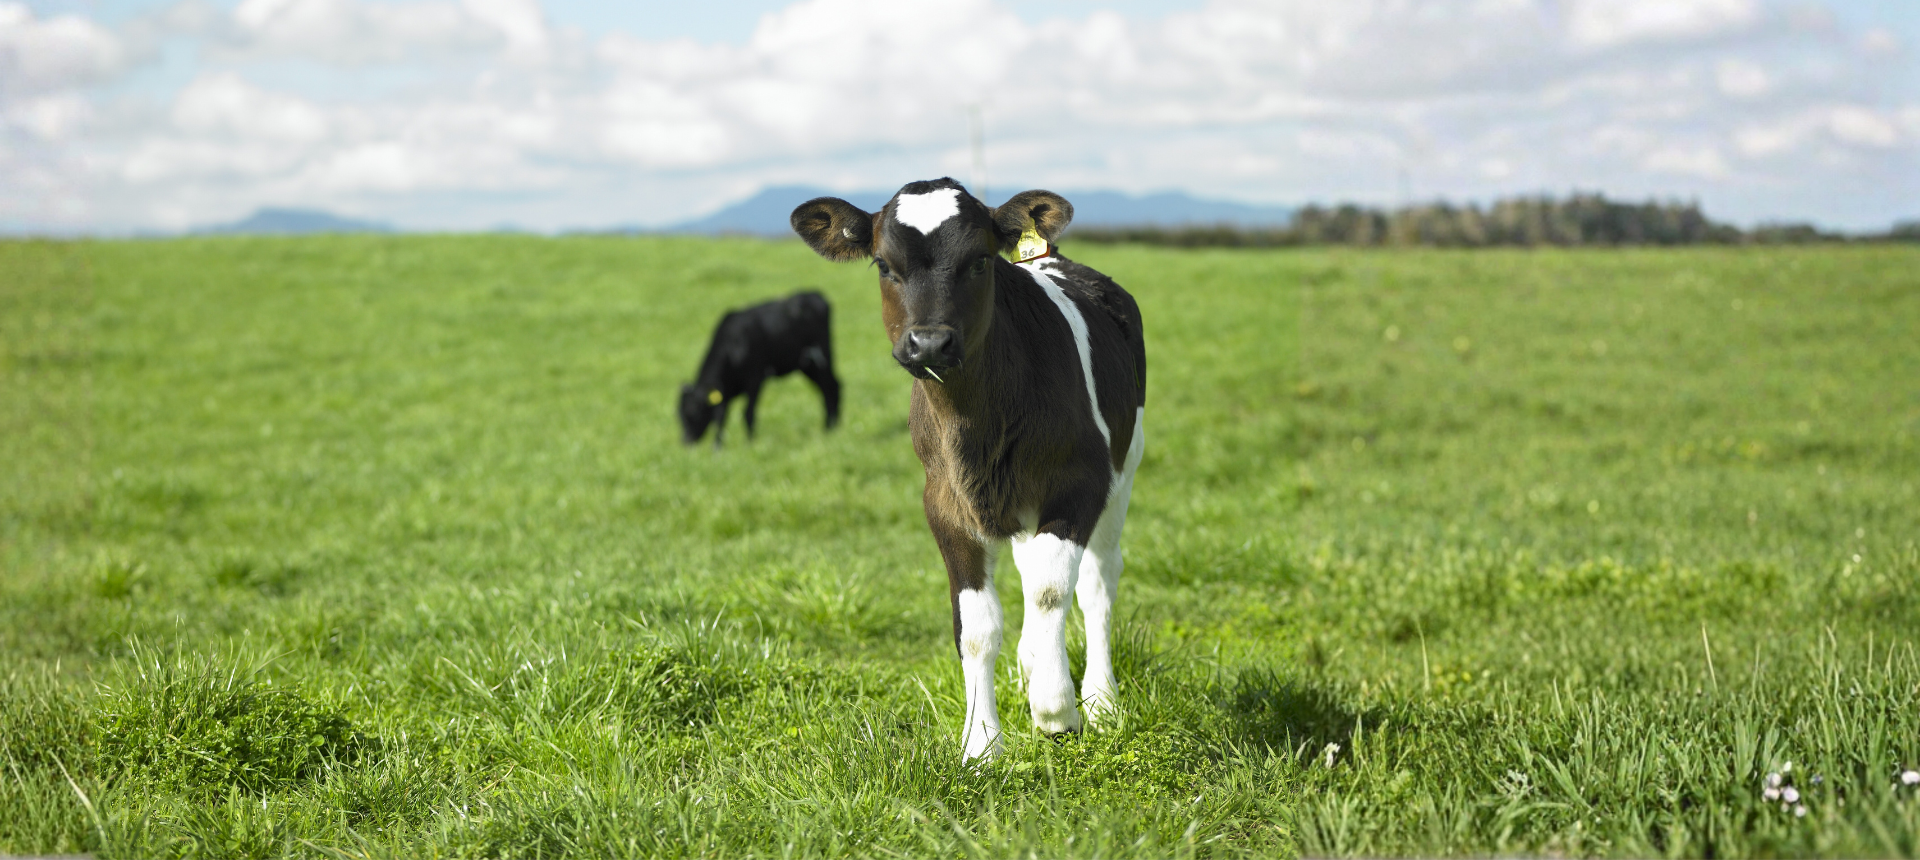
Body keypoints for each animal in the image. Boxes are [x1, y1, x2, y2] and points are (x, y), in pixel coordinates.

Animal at [678, 290, 841, 448]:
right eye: (679, 415)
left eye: (694, 412)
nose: (686, 442)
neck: (733, 347)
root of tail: (816, 295)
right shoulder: (725, 389)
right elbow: (721, 417)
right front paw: (717, 448)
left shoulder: (754, 380)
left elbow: (748, 413)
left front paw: (749, 444)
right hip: (807, 365)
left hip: (821, 358)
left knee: (831, 387)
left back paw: (831, 428)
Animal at [791, 178, 1145, 760]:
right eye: (884, 264)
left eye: (980, 260)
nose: (930, 342)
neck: (979, 425)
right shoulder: (944, 502)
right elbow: (977, 624)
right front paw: (981, 746)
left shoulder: (1082, 482)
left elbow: (1053, 590)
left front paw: (1057, 708)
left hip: (1124, 468)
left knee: (1096, 582)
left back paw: (1101, 699)